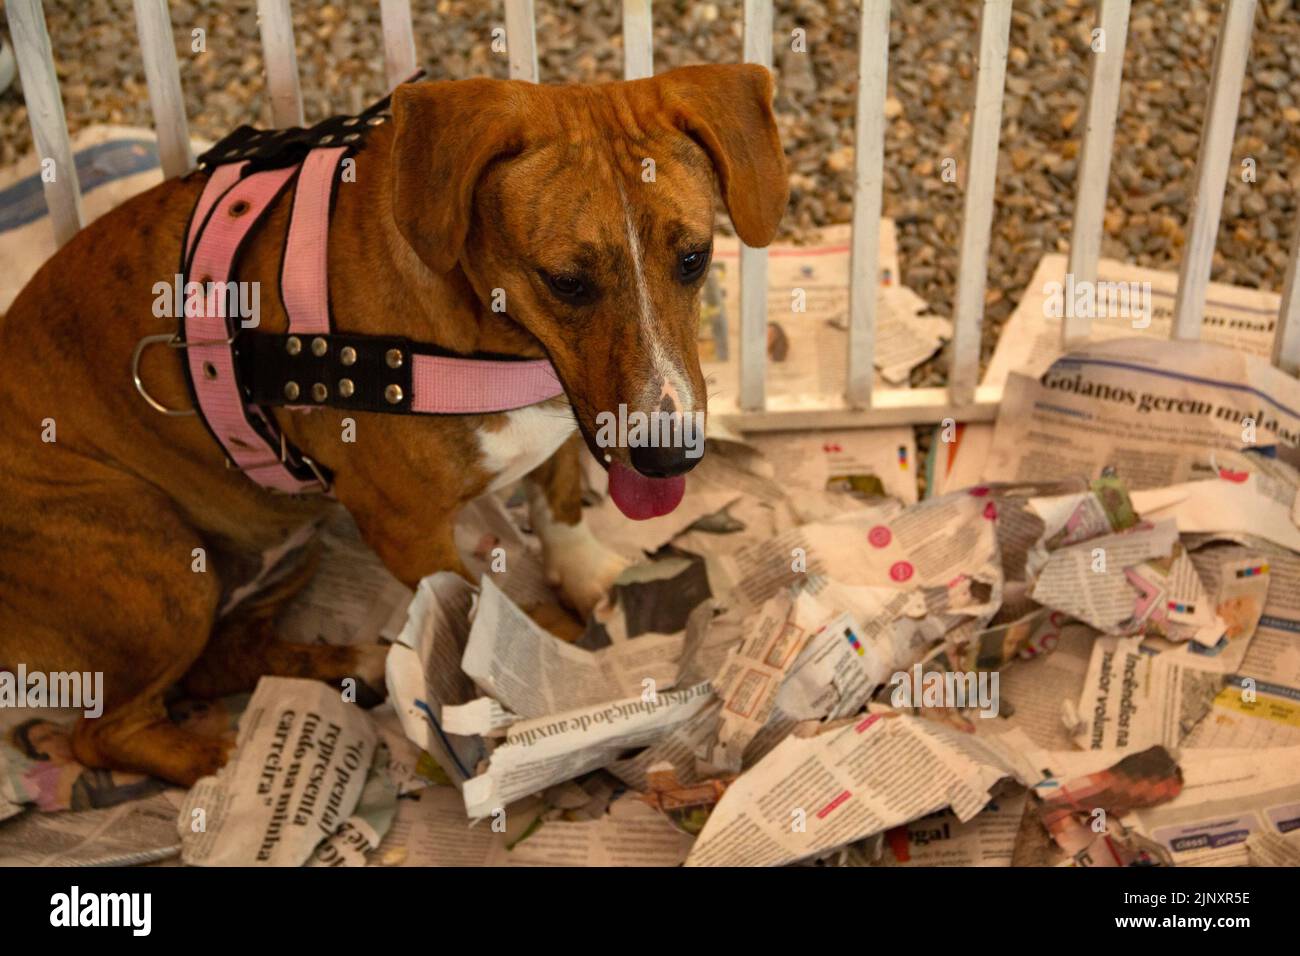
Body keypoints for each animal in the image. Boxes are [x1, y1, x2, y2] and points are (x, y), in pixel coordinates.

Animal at [0, 65, 785, 785]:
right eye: (566, 281)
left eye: (694, 258)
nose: (669, 457)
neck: (491, 336)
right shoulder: (407, 529)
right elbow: (470, 611)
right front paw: (510, 678)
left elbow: (559, 496)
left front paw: (589, 578)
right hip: (162, 566)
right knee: (104, 731)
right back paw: (219, 764)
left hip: (281, 553)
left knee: (217, 661)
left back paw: (356, 666)